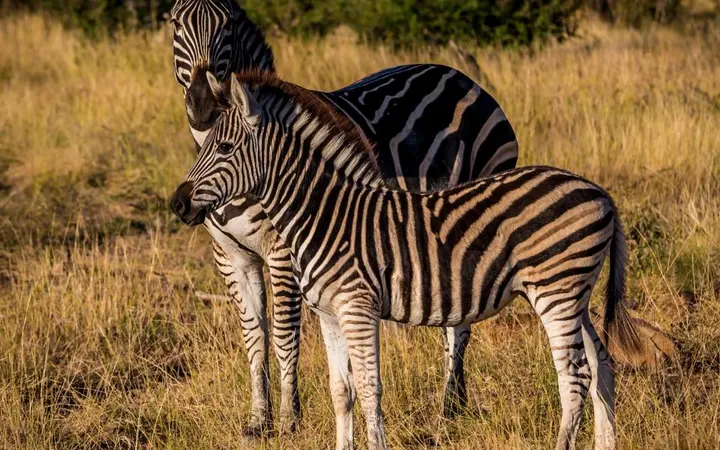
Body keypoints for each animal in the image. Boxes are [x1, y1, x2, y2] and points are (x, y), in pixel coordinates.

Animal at [169, 0, 519, 435]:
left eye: (229, 24)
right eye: (175, 23)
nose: (201, 105)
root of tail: (462, 77)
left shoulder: (285, 252)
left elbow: (284, 333)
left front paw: (290, 419)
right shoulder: (231, 257)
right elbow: (254, 336)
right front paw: (258, 418)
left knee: (460, 326)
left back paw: (447, 407)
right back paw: (456, 403)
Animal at [170, 72, 642, 450]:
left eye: (225, 147)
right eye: (206, 144)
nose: (177, 203)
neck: (324, 214)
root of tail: (599, 192)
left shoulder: (358, 308)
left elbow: (369, 388)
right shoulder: (328, 313)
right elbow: (341, 391)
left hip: (556, 292)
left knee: (574, 378)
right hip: (574, 296)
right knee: (602, 366)